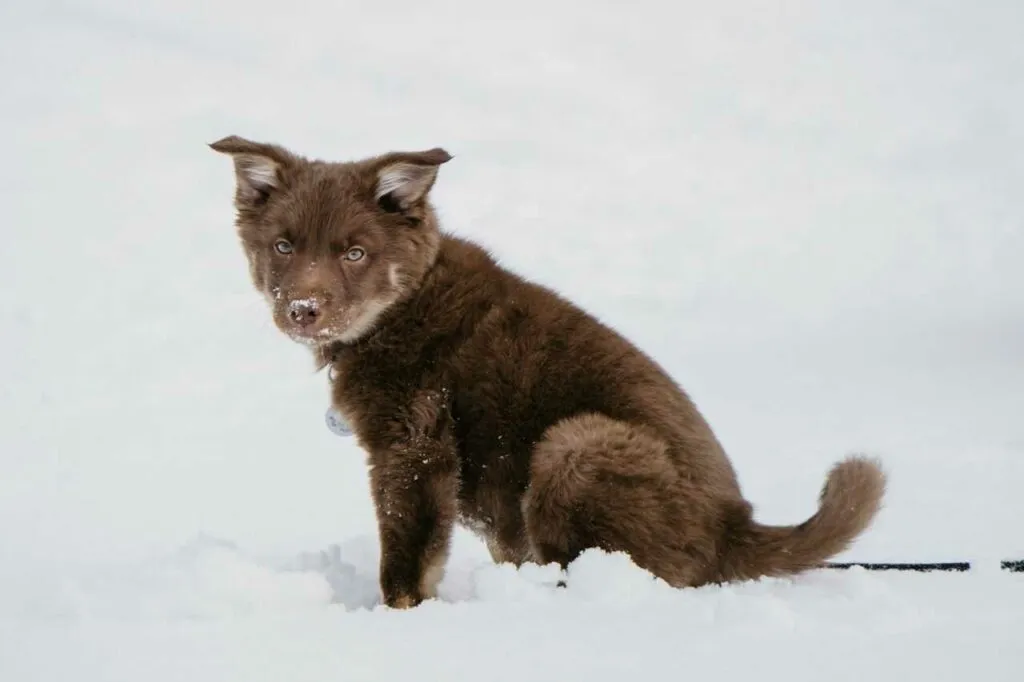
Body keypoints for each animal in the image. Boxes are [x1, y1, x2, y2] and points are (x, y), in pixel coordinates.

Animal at [209, 135, 888, 606]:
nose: (303, 309)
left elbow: (408, 558)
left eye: (355, 252)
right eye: (283, 246)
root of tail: (737, 527)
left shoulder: (416, 448)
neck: (401, 307)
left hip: (573, 445)